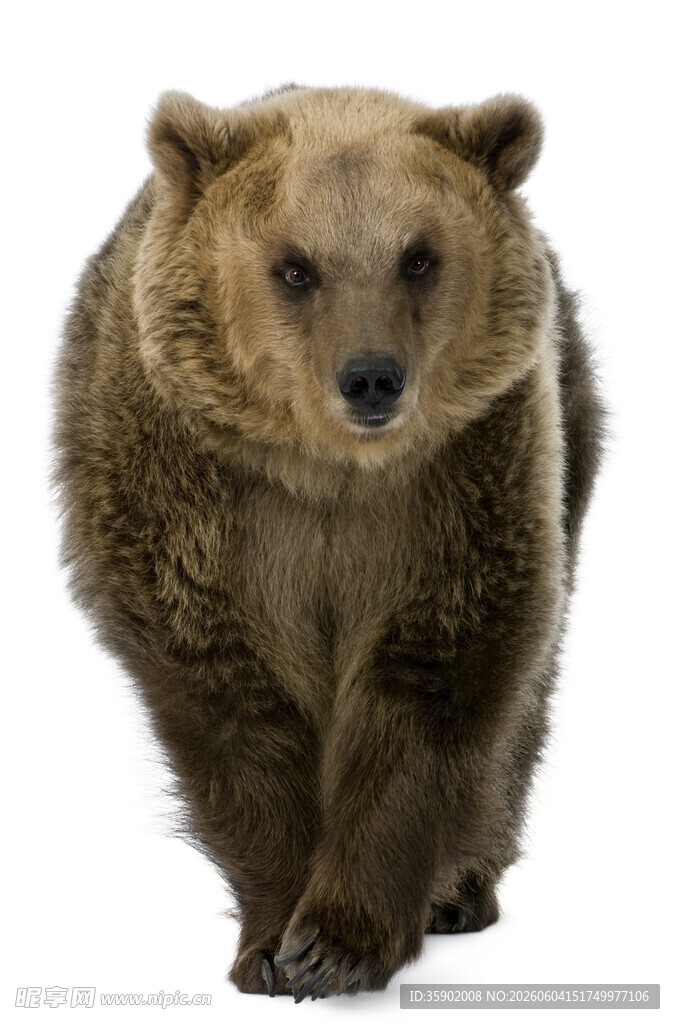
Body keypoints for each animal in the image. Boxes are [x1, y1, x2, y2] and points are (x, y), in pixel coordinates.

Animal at [53, 85, 605, 1000]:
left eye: (417, 257)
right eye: (294, 267)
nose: (371, 377)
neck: (328, 473)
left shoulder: (462, 482)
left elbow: (433, 683)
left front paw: (340, 941)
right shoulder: (191, 496)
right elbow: (231, 705)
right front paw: (275, 941)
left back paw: (463, 888)